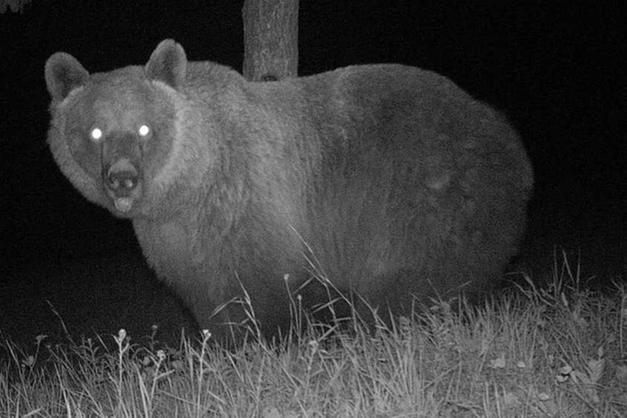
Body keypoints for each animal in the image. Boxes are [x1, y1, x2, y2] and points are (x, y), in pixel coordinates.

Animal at [45, 37, 536, 342]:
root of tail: (507, 136)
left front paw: (266, 342)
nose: (122, 177)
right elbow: (207, 293)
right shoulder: (178, 239)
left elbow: (263, 289)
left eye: (144, 128)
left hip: (430, 196)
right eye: (95, 131)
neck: (187, 186)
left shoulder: (252, 205)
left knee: (415, 278)